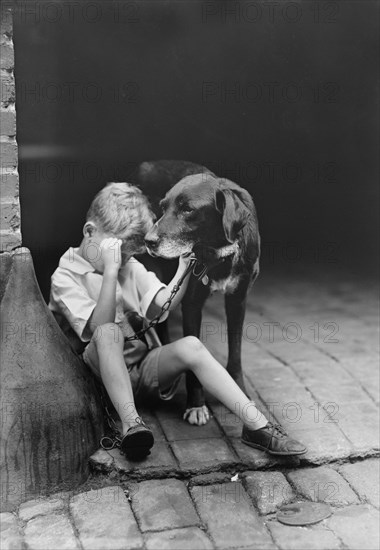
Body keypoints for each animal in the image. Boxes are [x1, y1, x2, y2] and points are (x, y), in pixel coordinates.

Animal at [132, 160, 260, 426]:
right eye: (162, 208)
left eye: (188, 210)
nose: (148, 241)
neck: (219, 252)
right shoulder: (191, 303)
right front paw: (196, 405)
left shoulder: (238, 300)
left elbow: (236, 353)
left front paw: (240, 391)